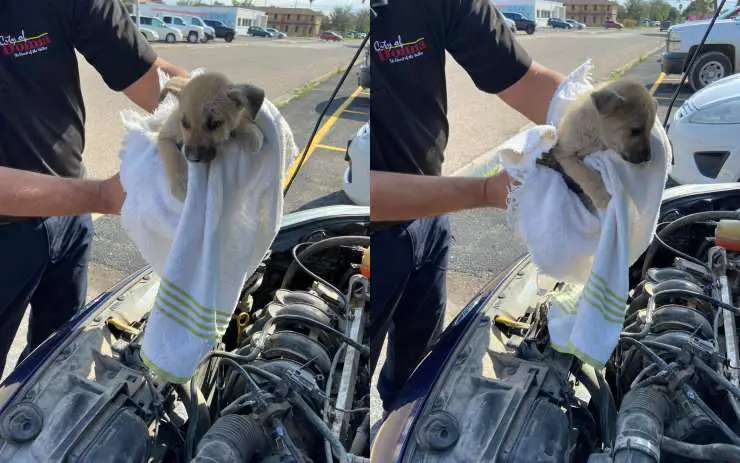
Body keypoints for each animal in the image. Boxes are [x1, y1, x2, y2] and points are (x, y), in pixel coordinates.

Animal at [156, 73, 266, 201]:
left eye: (214, 124)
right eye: (184, 123)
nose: (192, 159)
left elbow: (240, 122)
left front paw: (251, 132)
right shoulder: (164, 135)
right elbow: (174, 159)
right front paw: (181, 187)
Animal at [540, 79, 656, 210]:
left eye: (650, 129)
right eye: (635, 130)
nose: (648, 158)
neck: (596, 134)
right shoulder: (565, 153)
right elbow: (587, 175)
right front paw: (602, 199)